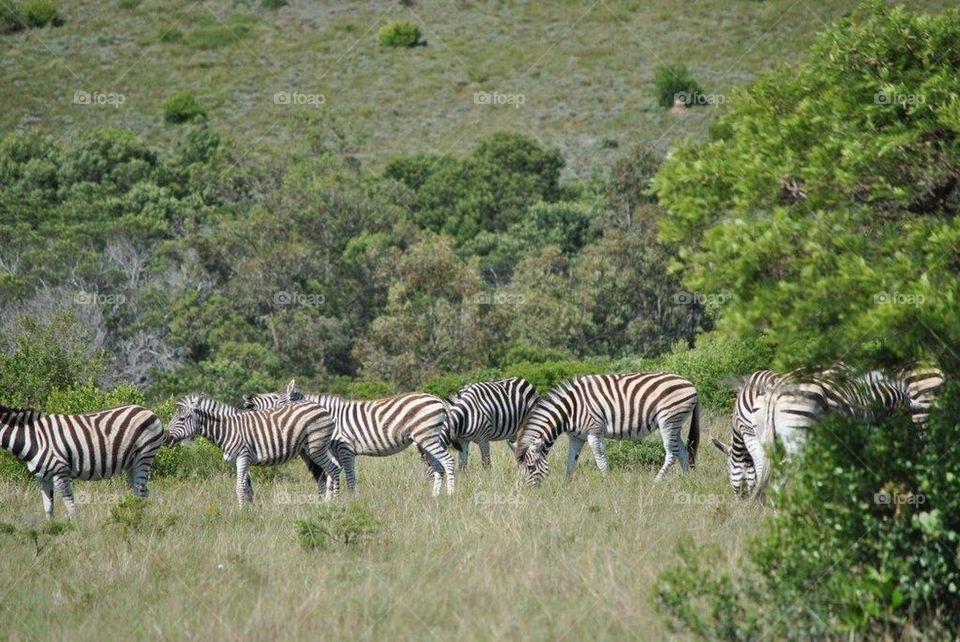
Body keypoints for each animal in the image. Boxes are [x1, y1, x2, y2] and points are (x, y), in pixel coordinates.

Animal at [0, 404, 164, 519]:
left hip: (144, 456)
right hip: (131, 463)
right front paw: (50, 531)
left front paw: (74, 532)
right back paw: (135, 517)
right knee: (140, 491)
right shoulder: (42, 477)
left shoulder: (60, 471)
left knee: (141, 492)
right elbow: (48, 508)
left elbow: (70, 505)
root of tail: (148, 410)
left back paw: (139, 520)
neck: (33, 438)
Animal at [165, 388, 341, 505]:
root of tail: (320, 407)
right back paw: (326, 503)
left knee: (333, 469)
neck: (228, 429)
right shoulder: (239, 461)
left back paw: (334, 503)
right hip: (312, 450)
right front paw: (249, 510)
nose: (166, 437)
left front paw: (240, 513)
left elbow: (239, 487)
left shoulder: (243, 457)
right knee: (328, 472)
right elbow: (246, 487)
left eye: (181, 419)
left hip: (316, 447)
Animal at [243, 381, 455, 496]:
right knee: (438, 467)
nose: (248, 400)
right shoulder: (339, 452)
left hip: (428, 437)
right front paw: (332, 501)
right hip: (426, 440)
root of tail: (438, 400)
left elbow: (350, 477)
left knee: (448, 461)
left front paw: (352, 500)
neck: (329, 416)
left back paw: (451, 494)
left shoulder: (344, 448)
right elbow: (334, 476)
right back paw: (435, 497)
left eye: (276, 400)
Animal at [515, 372, 700, 485]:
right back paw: (686, 481)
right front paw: (565, 486)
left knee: (672, 453)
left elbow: (600, 460)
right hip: (675, 424)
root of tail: (691, 384)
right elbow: (570, 463)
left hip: (668, 420)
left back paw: (656, 482)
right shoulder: (576, 437)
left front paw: (607, 483)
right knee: (684, 452)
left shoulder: (594, 431)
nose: (531, 490)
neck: (570, 410)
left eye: (530, 467)